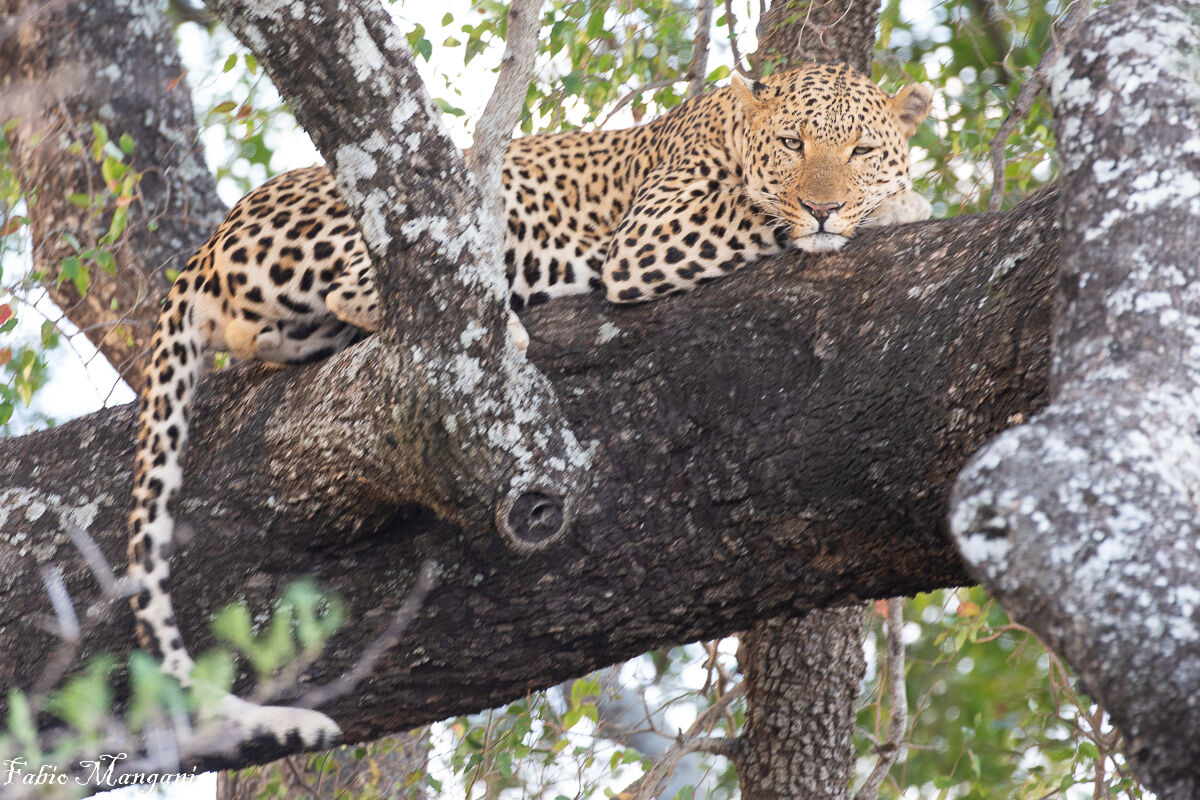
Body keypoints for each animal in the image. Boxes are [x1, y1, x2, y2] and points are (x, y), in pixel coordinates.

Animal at [127, 62, 933, 755]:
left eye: (860, 149)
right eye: (793, 144)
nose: (824, 207)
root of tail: (210, 242)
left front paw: (882, 202)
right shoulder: (652, 238)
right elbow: (763, 214)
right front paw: (894, 206)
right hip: (434, 208)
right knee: (369, 285)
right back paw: (503, 324)